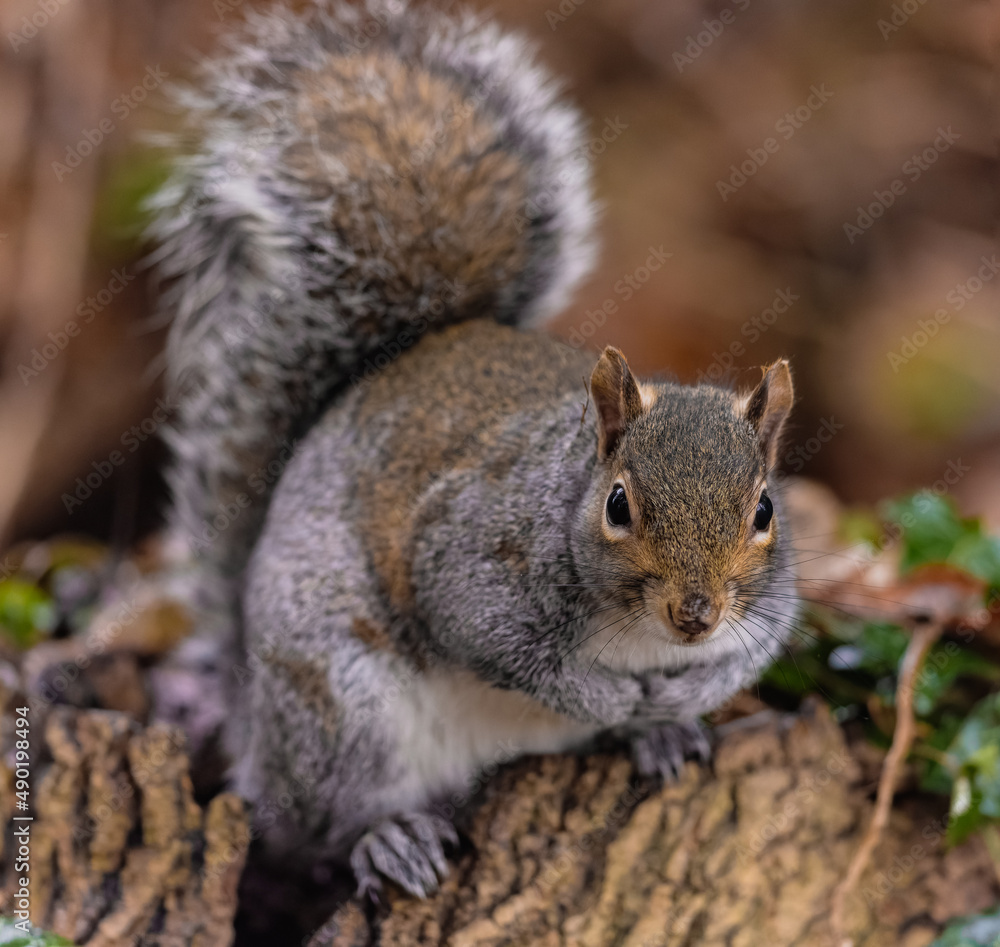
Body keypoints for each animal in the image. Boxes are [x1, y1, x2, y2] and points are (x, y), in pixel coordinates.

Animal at [150, 0, 796, 900]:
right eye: (618, 505)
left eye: (763, 509)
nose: (696, 616)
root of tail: (252, 716)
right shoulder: (473, 563)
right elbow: (514, 652)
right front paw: (609, 699)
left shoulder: (772, 600)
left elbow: (755, 649)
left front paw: (680, 703)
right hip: (341, 701)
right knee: (320, 825)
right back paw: (386, 837)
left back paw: (657, 738)